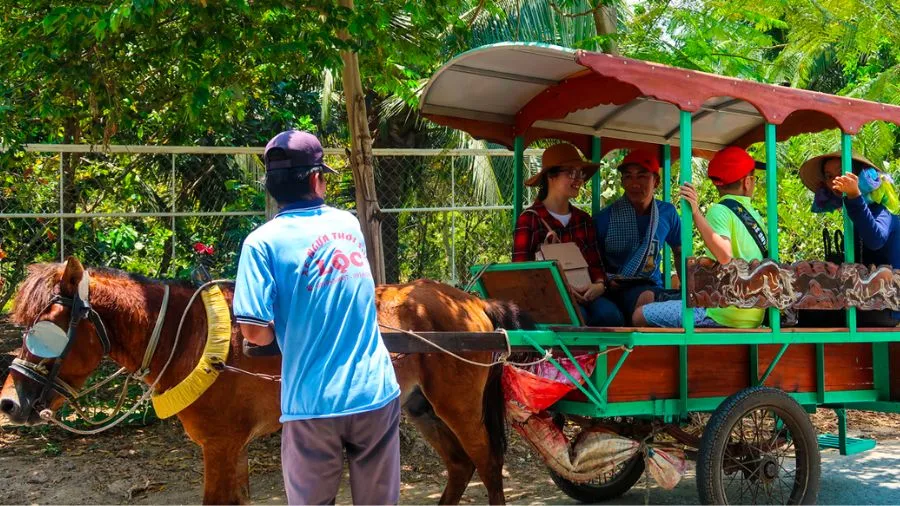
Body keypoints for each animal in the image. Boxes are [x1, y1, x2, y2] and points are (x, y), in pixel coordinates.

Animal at [0, 258, 532, 504]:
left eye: (46, 330)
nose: (9, 402)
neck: (190, 335)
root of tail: (470, 302)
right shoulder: (231, 448)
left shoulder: (219, 445)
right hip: (422, 407)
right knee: (461, 466)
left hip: (458, 406)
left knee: (488, 464)